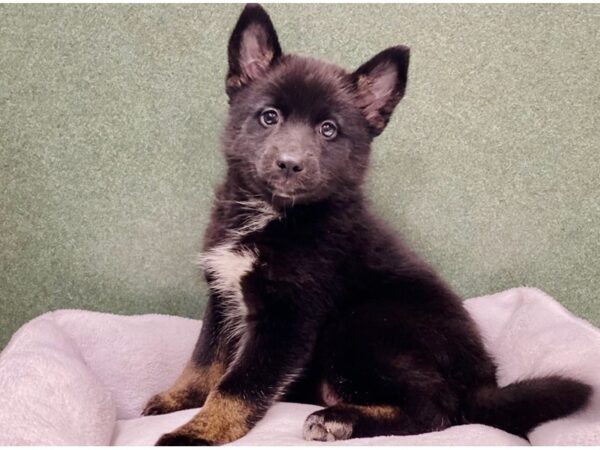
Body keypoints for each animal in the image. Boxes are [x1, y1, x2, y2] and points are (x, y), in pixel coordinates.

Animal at [143, 4, 592, 446]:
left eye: (328, 130)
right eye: (269, 117)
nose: (290, 164)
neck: (273, 215)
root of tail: (483, 384)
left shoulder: (288, 317)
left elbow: (240, 383)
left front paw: (197, 433)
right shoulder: (222, 297)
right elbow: (204, 358)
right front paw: (178, 400)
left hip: (359, 325)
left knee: (438, 410)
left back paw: (339, 420)